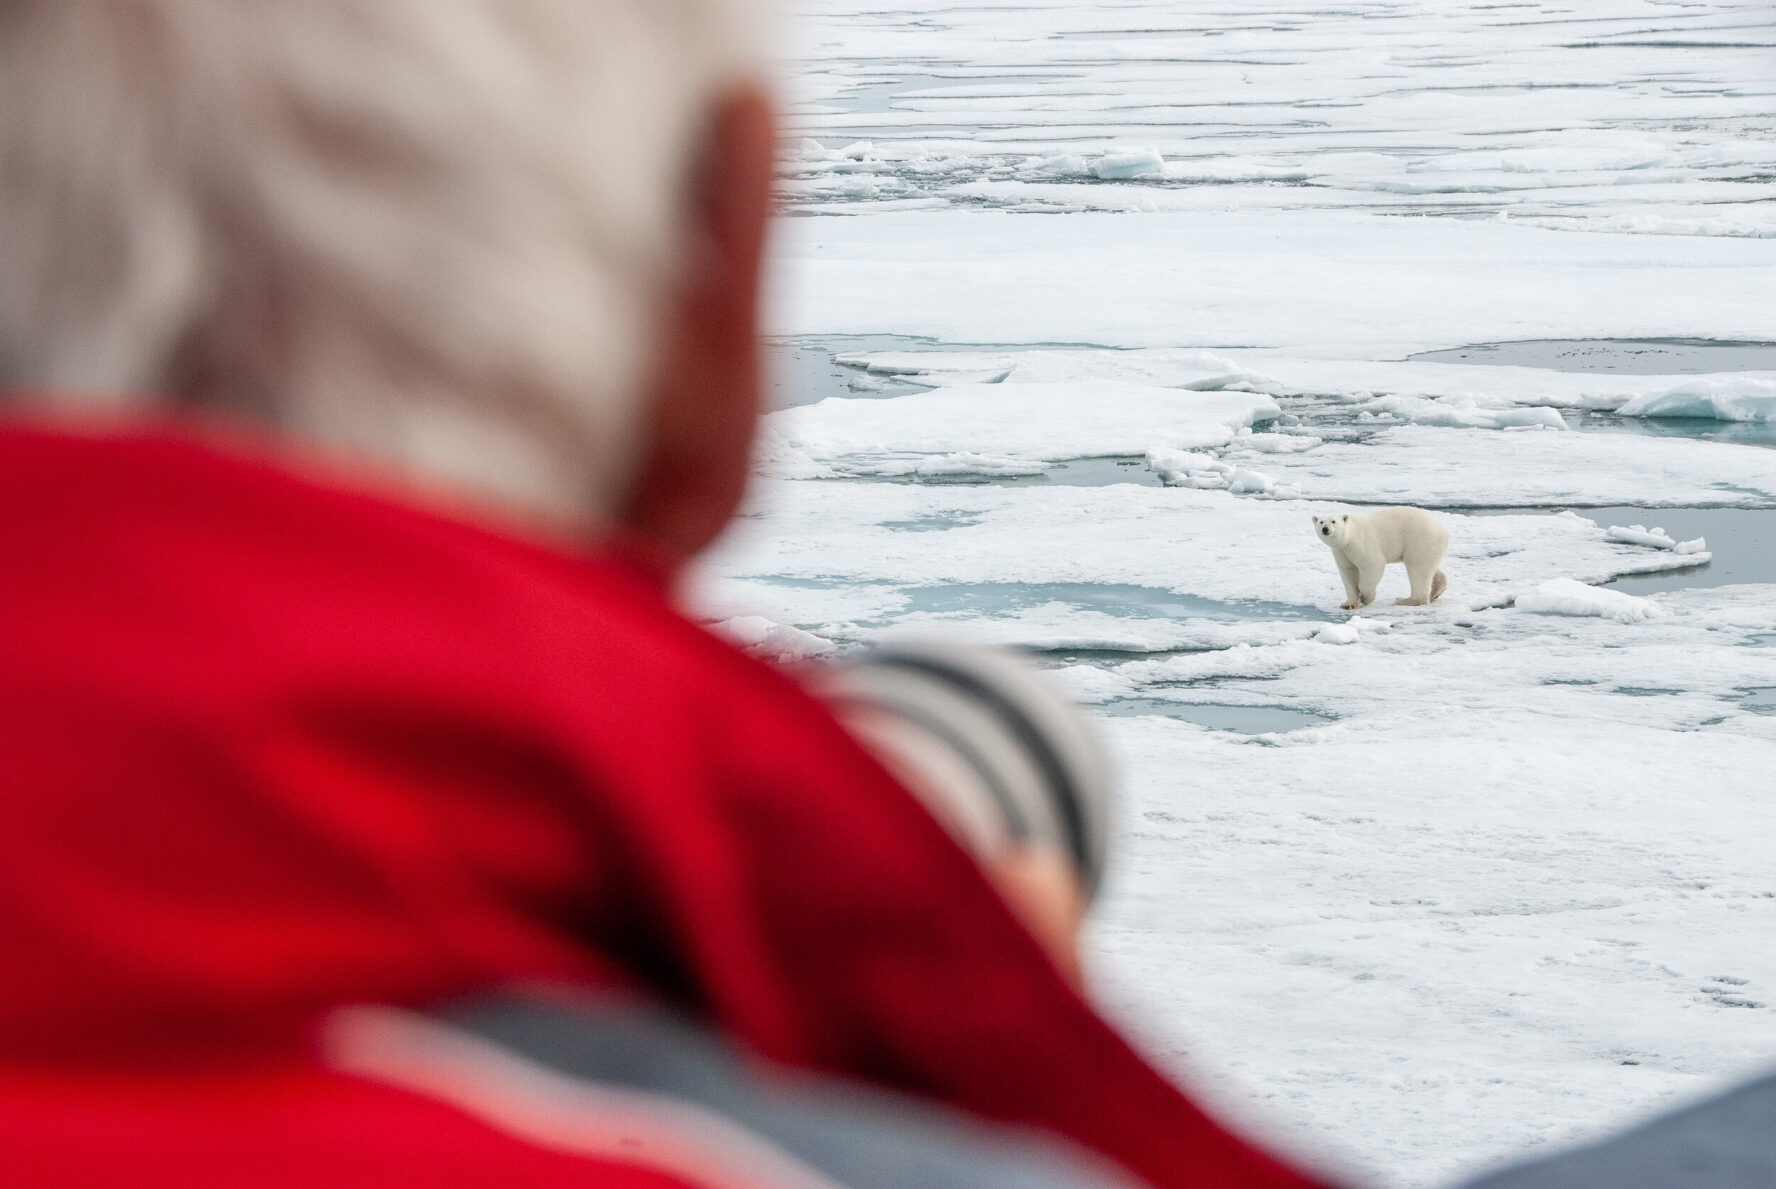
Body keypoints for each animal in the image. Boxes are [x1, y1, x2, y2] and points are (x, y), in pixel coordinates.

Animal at [1312, 507, 1449, 610]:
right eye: (1321, 522)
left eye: (1333, 521)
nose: (1325, 529)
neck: (1348, 538)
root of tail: (1444, 532)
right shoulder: (1341, 552)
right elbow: (1348, 572)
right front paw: (1348, 604)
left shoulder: (1361, 543)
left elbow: (1372, 565)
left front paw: (1366, 597)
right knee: (1429, 568)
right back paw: (1435, 592)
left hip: (1420, 539)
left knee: (1417, 569)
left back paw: (1405, 600)